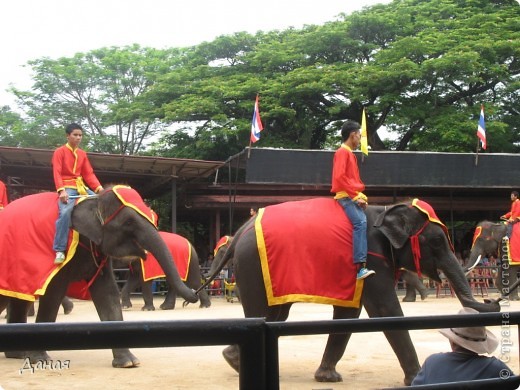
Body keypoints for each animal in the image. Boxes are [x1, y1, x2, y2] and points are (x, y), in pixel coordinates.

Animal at [0, 184, 199, 368]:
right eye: (128, 222)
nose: (193, 294)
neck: (94, 202)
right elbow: (53, 294)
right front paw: (41, 360)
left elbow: (108, 293)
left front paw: (129, 362)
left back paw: (17, 354)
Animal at [207, 197, 500, 386]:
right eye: (438, 241)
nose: (493, 299)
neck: (386, 210)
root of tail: (240, 231)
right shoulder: (370, 258)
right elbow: (384, 309)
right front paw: (417, 378)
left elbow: (349, 313)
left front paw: (327, 377)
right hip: (254, 265)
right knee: (265, 313)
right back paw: (237, 363)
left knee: (276, 314)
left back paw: (233, 360)